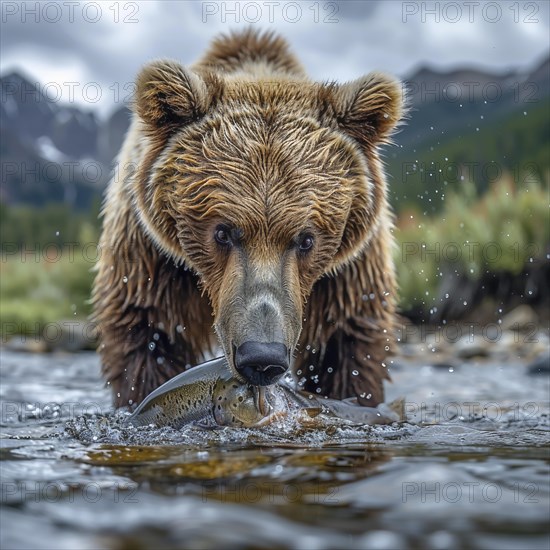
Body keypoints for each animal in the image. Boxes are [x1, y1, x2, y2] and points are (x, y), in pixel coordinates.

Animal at [92, 29, 406, 410]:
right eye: (222, 232)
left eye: (306, 238)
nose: (261, 356)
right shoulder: (151, 257)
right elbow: (150, 334)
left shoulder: (348, 274)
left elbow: (345, 345)